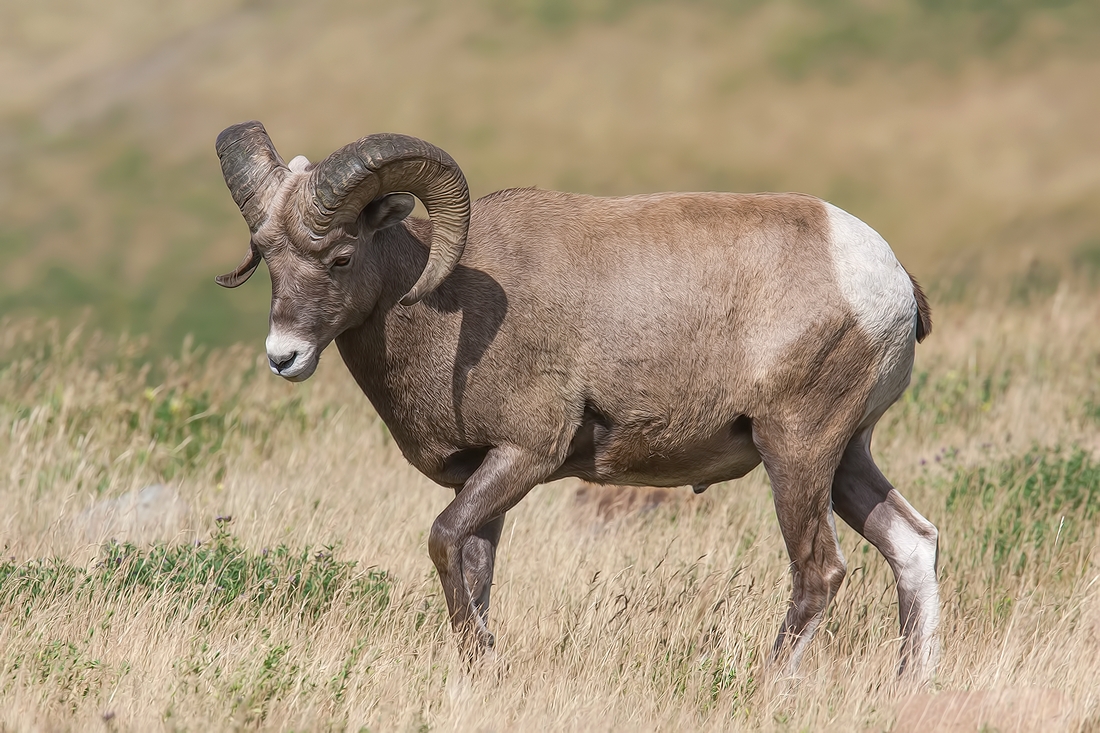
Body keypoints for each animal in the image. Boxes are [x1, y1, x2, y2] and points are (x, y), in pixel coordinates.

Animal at [218, 119, 941, 673]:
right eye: (267, 257)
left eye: (340, 257)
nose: (284, 355)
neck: (446, 308)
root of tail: (885, 277)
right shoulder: (483, 476)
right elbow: (473, 568)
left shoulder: (524, 456)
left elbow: (444, 541)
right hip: (846, 457)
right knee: (912, 544)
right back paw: (910, 685)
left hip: (795, 450)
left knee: (819, 571)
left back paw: (768, 685)